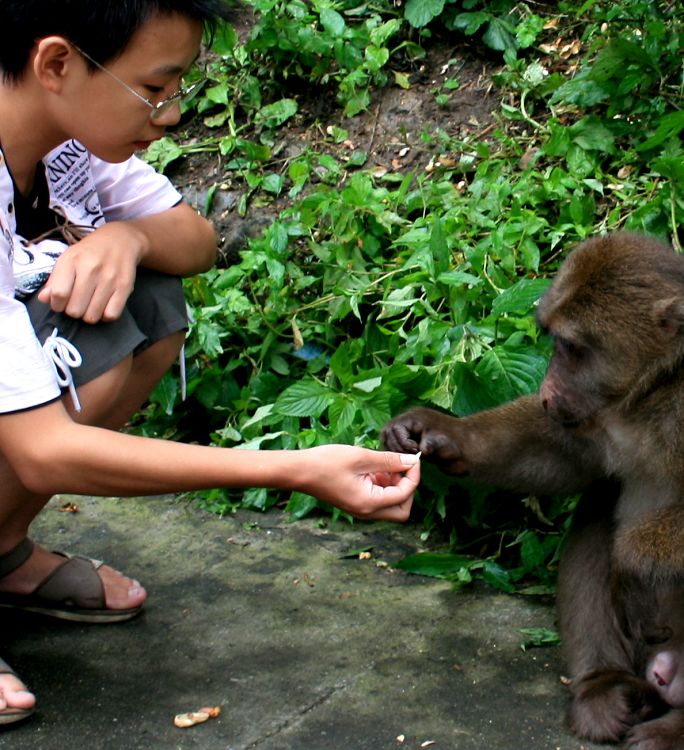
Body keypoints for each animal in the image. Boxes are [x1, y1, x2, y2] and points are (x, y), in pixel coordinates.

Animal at [382, 232, 684, 748]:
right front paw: (438, 433)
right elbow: (566, 456)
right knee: (600, 500)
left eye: (571, 348)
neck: (653, 394)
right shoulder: (601, 415)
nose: (546, 393)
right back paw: (603, 685)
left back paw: (672, 730)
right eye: (557, 344)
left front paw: (634, 560)